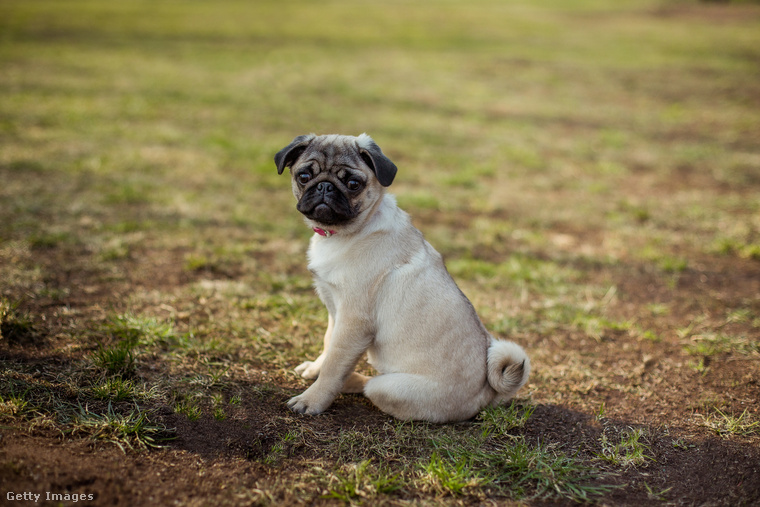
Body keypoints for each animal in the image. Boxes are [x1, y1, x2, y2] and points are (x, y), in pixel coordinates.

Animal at [276, 133, 532, 422]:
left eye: (353, 184)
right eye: (304, 176)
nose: (324, 187)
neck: (345, 233)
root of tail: (488, 393)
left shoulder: (354, 320)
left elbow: (334, 364)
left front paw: (312, 399)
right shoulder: (334, 310)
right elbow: (328, 344)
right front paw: (316, 369)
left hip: (389, 388)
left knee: (370, 386)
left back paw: (351, 381)